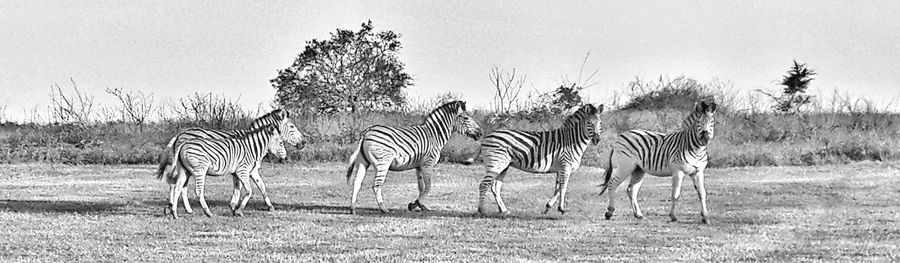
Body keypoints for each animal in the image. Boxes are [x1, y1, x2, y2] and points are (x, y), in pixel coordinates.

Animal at [152, 109, 298, 214]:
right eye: (292, 126)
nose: (302, 143)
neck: (252, 142)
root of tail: (180, 134)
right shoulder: (248, 169)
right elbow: (253, 187)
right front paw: (238, 207)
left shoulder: (242, 170)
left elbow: (250, 186)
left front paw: (234, 206)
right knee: (176, 184)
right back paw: (175, 208)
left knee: (179, 185)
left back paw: (179, 209)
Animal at [346, 100, 486, 214]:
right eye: (466, 118)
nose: (480, 134)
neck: (434, 135)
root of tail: (367, 131)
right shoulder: (427, 163)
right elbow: (428, 186)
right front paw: (415, 204)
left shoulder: (419, 166)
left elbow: (421, 187)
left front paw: (420, 205)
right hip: (383, 163)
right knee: (376, 185)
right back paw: (384, 209)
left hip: (363, 162)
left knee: (357, 182)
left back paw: (352, 208)